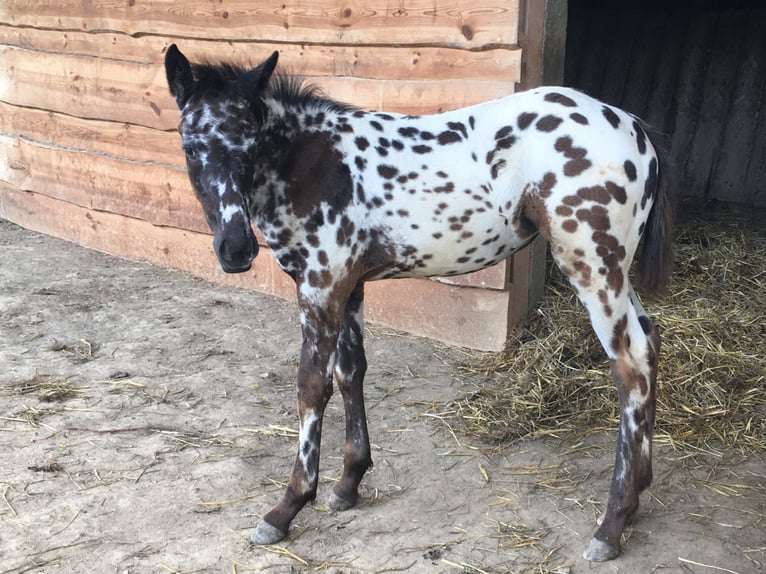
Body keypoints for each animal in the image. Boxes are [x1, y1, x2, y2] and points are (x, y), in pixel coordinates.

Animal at [165, 44, 676, 564]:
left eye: (250, 144)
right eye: (189, 146)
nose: (235, 249)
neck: (312, 164)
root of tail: (633, 126)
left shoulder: (321, 286)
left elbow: (311, 387)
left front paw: (286, 508)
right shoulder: (349, 286)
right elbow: (350, 372)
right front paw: (347, 484)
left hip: (593, 268)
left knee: (630, 363)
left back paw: (611, 525)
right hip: (616, 272)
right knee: (650, 340)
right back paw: (638, 493)